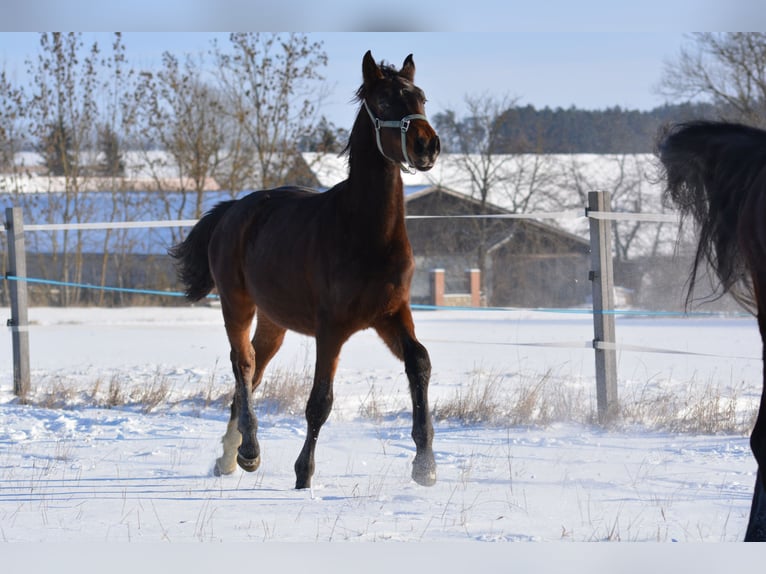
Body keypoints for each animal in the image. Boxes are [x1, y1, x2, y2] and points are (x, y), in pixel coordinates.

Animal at [169, 51, 440, 489]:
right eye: (384, 102)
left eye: (421, 98)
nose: (427, 146)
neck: (368, 234)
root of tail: (233, 209)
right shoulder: (331, 328)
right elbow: (319, 401)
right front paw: (303, 476)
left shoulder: (390, 314)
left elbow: (419, 361)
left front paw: (425, 463)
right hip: (236, 303)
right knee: (243, 363)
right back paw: (249, 451)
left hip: (274, 321)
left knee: (253, 371)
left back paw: (228, 456)